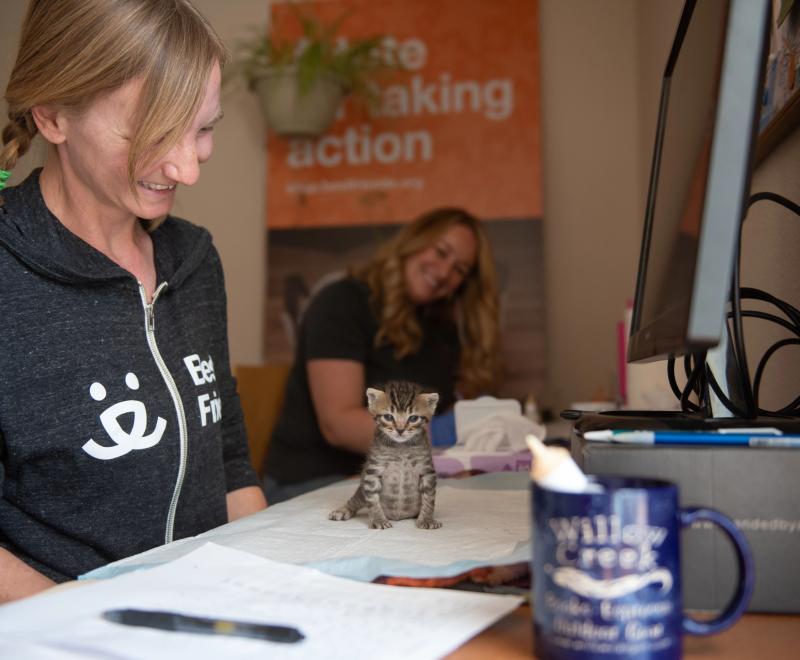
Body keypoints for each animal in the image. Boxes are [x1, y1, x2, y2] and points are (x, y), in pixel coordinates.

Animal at [332, 378, 444, 528]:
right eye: (388, 417)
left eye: (413, 418)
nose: (400, 430)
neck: (401, 447)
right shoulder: (372, 471)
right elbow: (372, 499)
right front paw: (378, 520)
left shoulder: (427, 471)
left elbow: (429, 498)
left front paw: (427, 519)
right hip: (361, 490)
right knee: (356, 499)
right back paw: (343, 510)